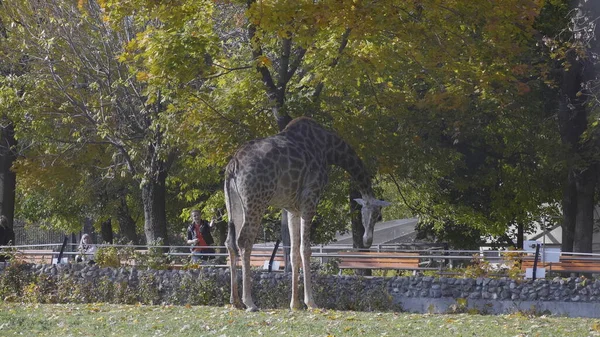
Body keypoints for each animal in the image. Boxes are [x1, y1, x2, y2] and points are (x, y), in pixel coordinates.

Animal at [224, 117, 390, 312]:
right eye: (376, 215)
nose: (367, 240)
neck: (329, 149)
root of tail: (233, 166)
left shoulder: (292, 208)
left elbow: (293, 252)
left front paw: (295, 304)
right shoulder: (310, 199)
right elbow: (306, 249)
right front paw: (311, 302)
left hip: (234, 203)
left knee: (230, 242)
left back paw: (235, 301)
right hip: (256, 201)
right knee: (244, 241)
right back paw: (250, 302)